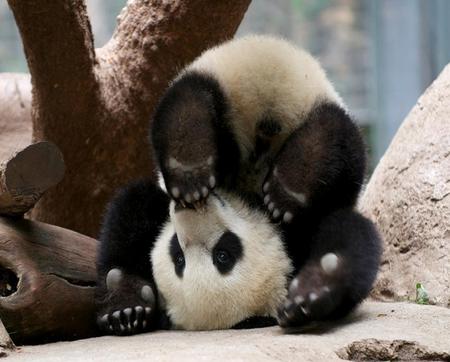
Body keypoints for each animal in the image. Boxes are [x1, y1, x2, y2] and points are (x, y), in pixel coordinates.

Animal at [95, 34, 380, 334]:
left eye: (224, 255)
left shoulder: (301, 231)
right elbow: (131, 212)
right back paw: (190, 166)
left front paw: (314, 288)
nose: (189, 210)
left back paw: (282, 190)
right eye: (178, 256)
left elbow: (351, 236)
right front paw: (126, 304)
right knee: (190, 101)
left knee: (334, 139)